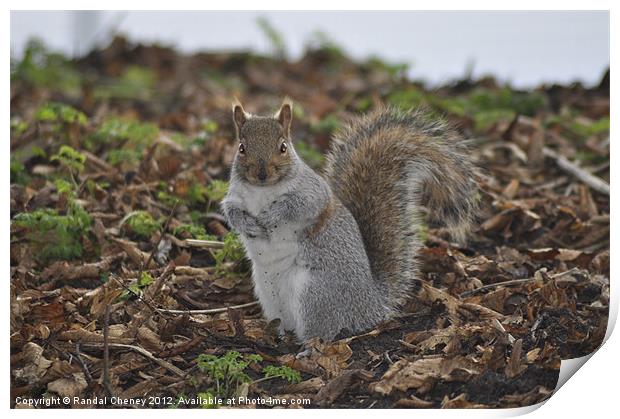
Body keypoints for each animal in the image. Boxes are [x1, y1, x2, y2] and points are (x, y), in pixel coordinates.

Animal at [223, 100, 480, 342]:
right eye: (241, 148)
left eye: (283, 147)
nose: (262, 174)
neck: (263, 191)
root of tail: (372, 305)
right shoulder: (234, 196)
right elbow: (231, 211)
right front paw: (247, 223)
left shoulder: (312, 193)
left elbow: (297, 206)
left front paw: (271, 215)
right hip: (268, 293)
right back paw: (280, 333)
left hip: (316, 294)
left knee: (324, 330)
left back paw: (309, 347)